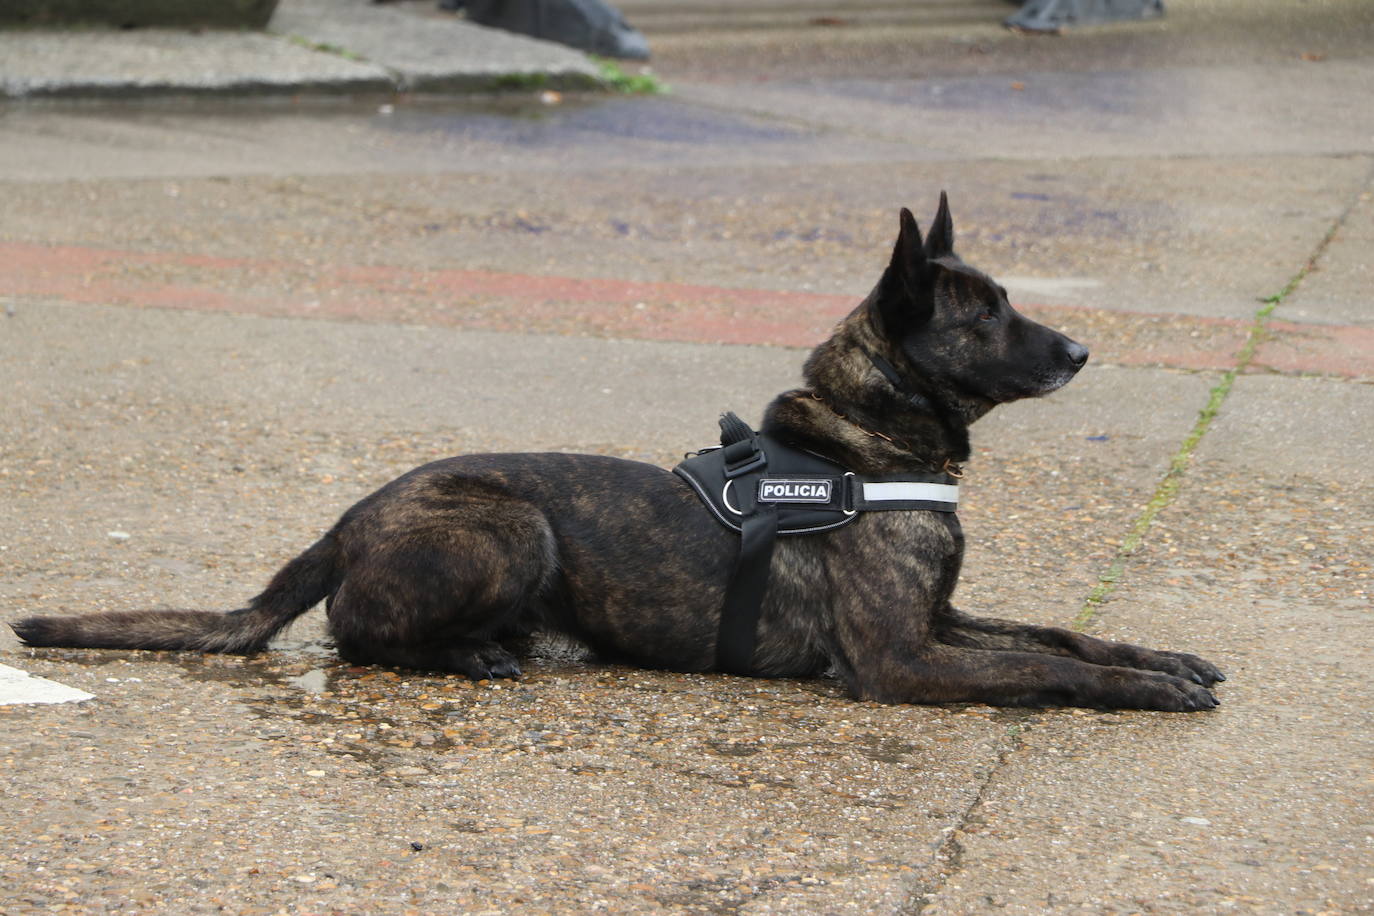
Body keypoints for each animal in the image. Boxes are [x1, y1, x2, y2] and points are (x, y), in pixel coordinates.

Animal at [8, 192, 1225, 708]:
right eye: (987, 315)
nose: (1082, 349)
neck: (862, 443)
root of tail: (347, 520)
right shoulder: (902, 657)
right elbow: (1048, 666)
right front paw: (1147, 692)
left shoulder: (943, 619)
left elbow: (1061, 632)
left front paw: (1162, 659)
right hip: (510, 522)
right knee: (358, 634)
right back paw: (472, 656)